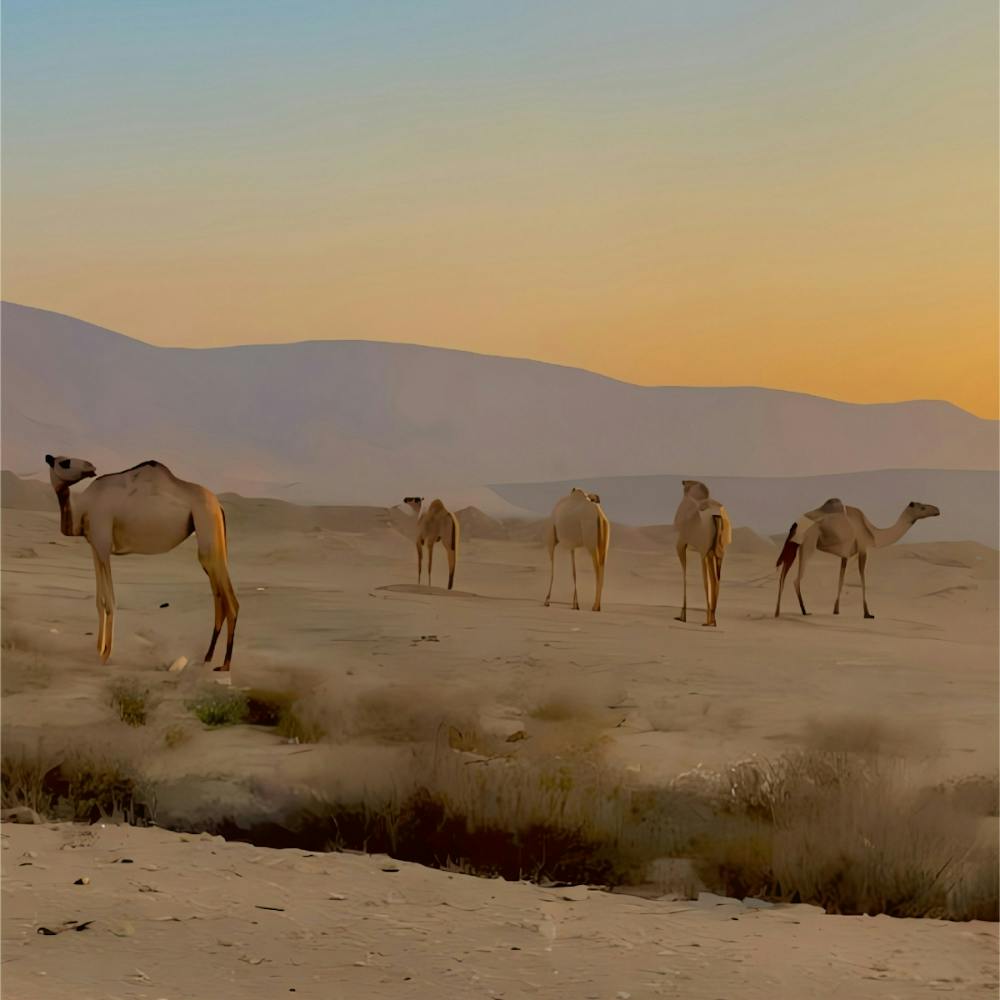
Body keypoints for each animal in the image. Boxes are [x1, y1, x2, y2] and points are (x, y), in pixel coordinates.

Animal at [44, 455, 239, 670]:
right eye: (65, 462)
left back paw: (225, 665)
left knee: (230, 601)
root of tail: (219, 506)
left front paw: (106, 655)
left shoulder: (103, 544)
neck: (84, 509)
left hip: (207, 525)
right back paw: (208, 657)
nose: (91, 467)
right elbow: (99, 601)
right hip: (211, 536)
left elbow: (110, 601)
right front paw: (98, 649)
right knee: (219, 598)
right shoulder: (95, 547)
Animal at [673, 480, 733, 626]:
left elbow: (685, 574)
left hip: (703, 550)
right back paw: (712, 620)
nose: (683, 481)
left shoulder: (681, 544)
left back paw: (708, 621)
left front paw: (682, 616)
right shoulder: (707, 551)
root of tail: (717, 514)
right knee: (716, 579)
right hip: (717, 551)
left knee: (708, 580)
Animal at [774, 498, 940, 618]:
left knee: (783, 574)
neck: (874, 534)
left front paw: (836, 610)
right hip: (808, 542)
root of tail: (795, 523)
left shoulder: (845, 554)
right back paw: (804, 611)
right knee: (795, 578)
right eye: (922, 508)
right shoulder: (862, 548)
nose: (937, 510)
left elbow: (841, 579)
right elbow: (862, 577)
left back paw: (777, 612)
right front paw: (867, 613)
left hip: (793, 544)